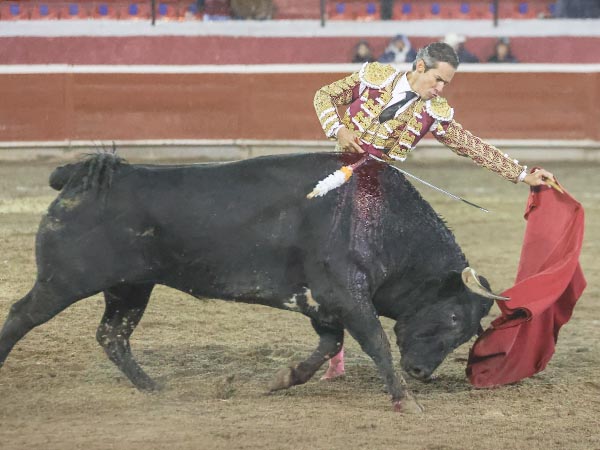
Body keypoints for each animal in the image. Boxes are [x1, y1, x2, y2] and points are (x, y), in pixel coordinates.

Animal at [0, 152, 496, 412]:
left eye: (469, 331)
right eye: (453, 317)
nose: (422, 373)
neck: (383, 222)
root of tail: (87, 172)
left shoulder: (324, 305)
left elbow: (327, 347)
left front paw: (280, 380)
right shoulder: (346, 295)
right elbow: (375, 341)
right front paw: (404, 399)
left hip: (130, 287)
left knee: (113, 335)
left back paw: (156, 388)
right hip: (65, 280)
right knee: (22, 314)